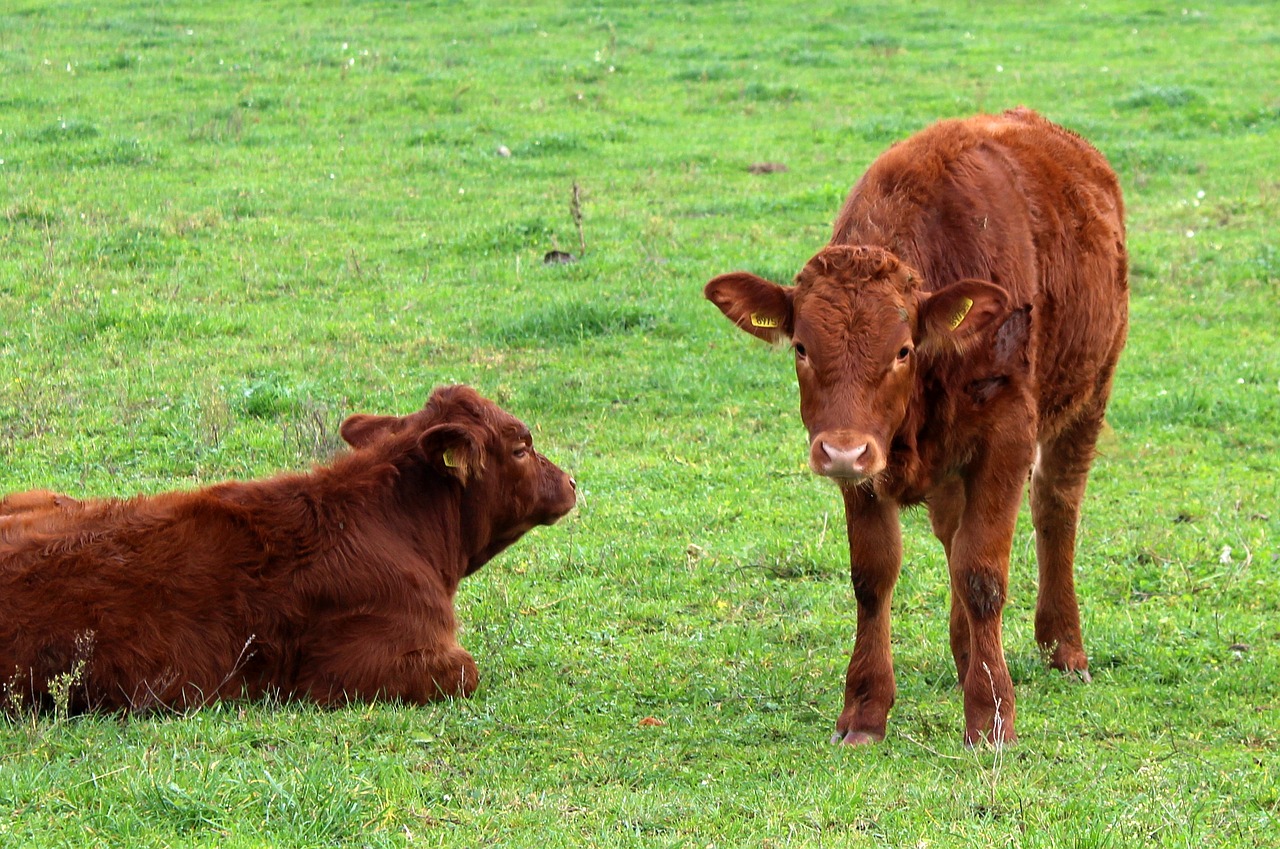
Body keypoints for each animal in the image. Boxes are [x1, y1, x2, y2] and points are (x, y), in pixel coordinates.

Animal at [706, 109, 1126, 747]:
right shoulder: (866, 463)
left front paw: (991, 714)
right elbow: (874, 574)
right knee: (954, 534)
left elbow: (983, 573)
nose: (841, 453)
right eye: (801, 347)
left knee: (1055, 506)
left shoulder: (1006, 437)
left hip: (1089, 392)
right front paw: (864, 710)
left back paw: (1063, 647)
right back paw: (964, 654)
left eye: (902, 350)